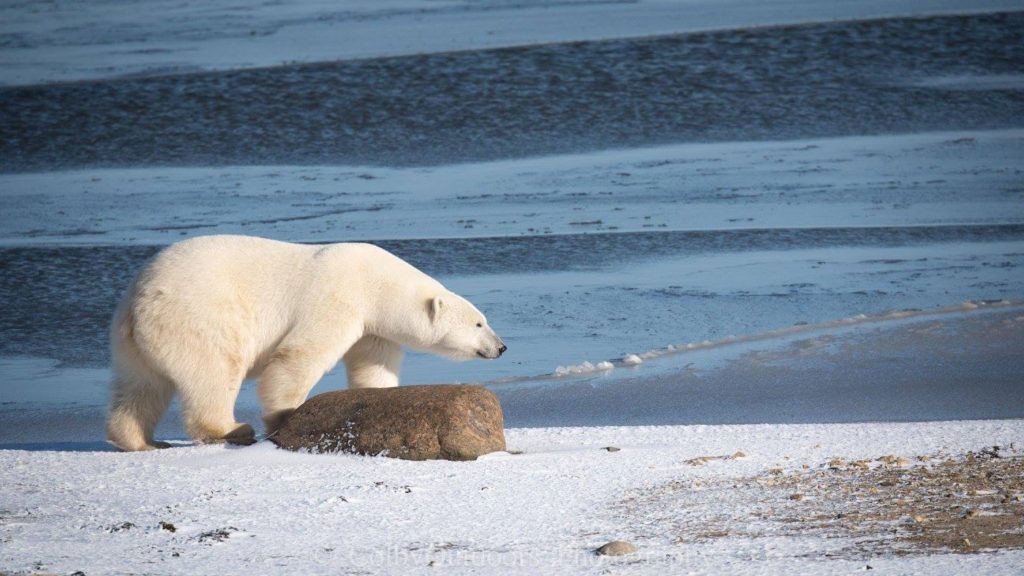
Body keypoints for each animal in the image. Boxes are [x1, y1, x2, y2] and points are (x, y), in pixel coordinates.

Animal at [106, 235, 506, 452]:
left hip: (131, 339)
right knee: (214, 372)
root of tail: (142, 297)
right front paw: (283, 414)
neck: (375, 282)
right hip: (200, 315)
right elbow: (300, 354)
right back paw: (233, 428)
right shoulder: (338, 295)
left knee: (140, 387)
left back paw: (139, 439)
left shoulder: (373, 326)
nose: (501, 347)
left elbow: (373, 365)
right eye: (479, 322)